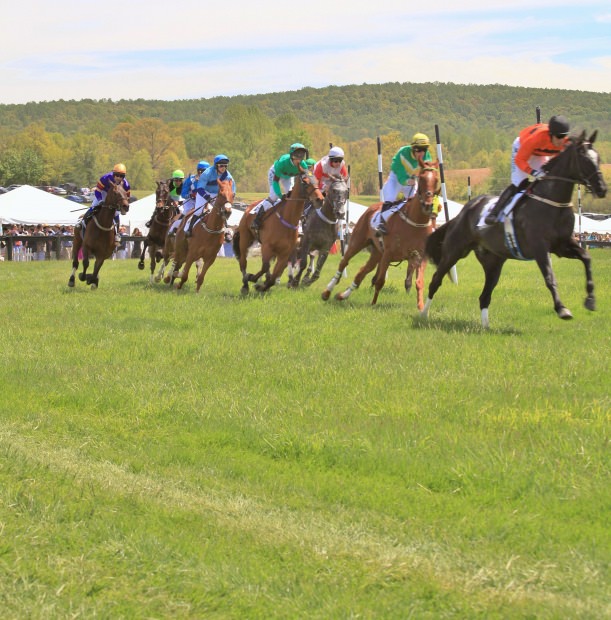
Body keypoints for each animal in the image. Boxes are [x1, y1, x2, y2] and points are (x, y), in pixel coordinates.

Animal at [320, 163, 440, 306]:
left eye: (436, 180)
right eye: (421, 179)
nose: (428, 205)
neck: (415, 223)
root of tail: (370, 208)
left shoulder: (420, 256)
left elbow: (419, 283)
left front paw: (421, 307)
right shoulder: (388, 254)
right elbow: (380, 281)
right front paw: (373, 304)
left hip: (377, 252)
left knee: (362, 271)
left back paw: (342, 295)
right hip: (357, 242)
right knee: (344, 263)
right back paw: (327, 292)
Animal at [420, 131, 608, 330]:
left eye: (598, 158)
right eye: (585, 159)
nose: (602, 188)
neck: (552, 201)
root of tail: (464, 211)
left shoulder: (562, 245)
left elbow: (586, 258)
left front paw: (590, 300)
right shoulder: (540, 248)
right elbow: (550, 277)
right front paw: (562, 309)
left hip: (493, 261)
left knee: (485, 295)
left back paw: (486, 327)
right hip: (454, 251)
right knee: (436, 280)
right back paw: (423, 314)